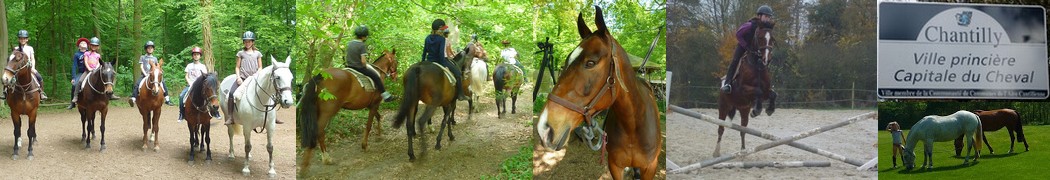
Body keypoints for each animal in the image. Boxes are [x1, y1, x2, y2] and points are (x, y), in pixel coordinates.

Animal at [713, 18, 781, 155]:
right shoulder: (743, 89)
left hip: (743, 109)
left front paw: (769, 109)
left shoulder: (766, 91)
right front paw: (756, 110)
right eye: (760, 37)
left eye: (772, 39)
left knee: (743, 130)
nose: (767, 59)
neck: (757, 65)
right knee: (721, 129)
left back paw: (743, 151)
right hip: (723, 107)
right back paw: (716, 152)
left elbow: (772, 94)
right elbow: (758, 91)